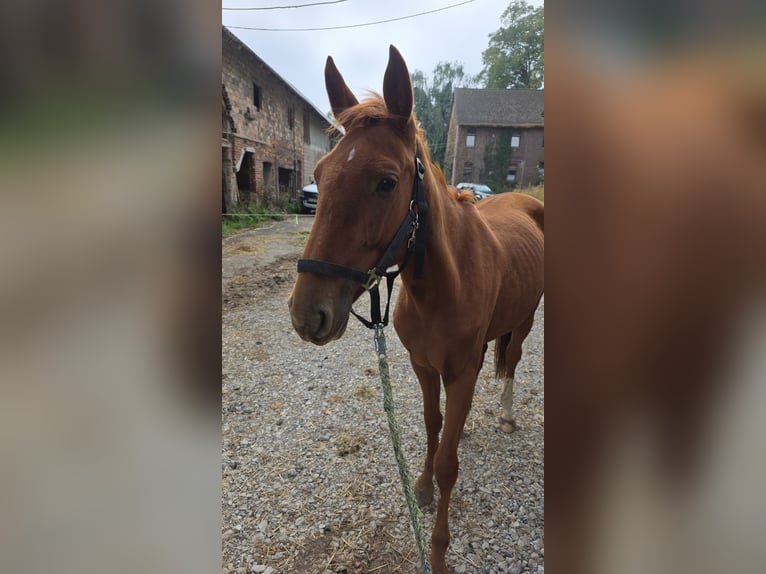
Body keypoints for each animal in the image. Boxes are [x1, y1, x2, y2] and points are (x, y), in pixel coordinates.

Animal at [288, 45, 544, 574]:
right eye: (319, 176)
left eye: (387, 182)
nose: (307, 315)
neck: (443, 286)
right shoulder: (423, 366)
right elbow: (433, 425)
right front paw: (422, 486)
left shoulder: (460, 372)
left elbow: (449, 464)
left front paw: (439, 550)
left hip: (527, 318)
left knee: (512, 360)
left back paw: (507, 413)